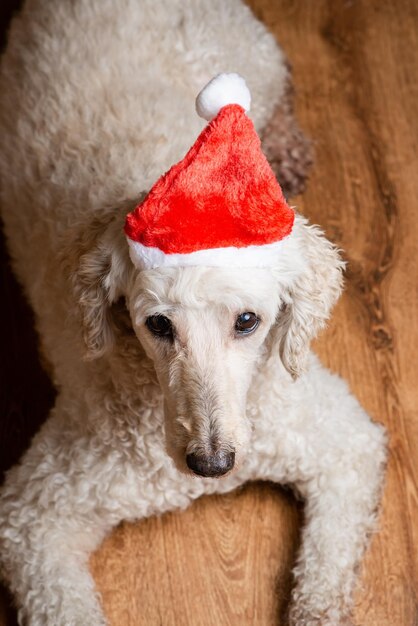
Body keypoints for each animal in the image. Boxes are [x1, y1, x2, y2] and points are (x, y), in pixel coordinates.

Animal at [0, 1, 388, 624]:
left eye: (248, 321)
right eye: (157, 325)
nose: (211, 466)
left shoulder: (340, 441)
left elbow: (325, 574)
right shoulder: (36, 515)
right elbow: (62, 603)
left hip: (247, 52)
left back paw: (285, 147)